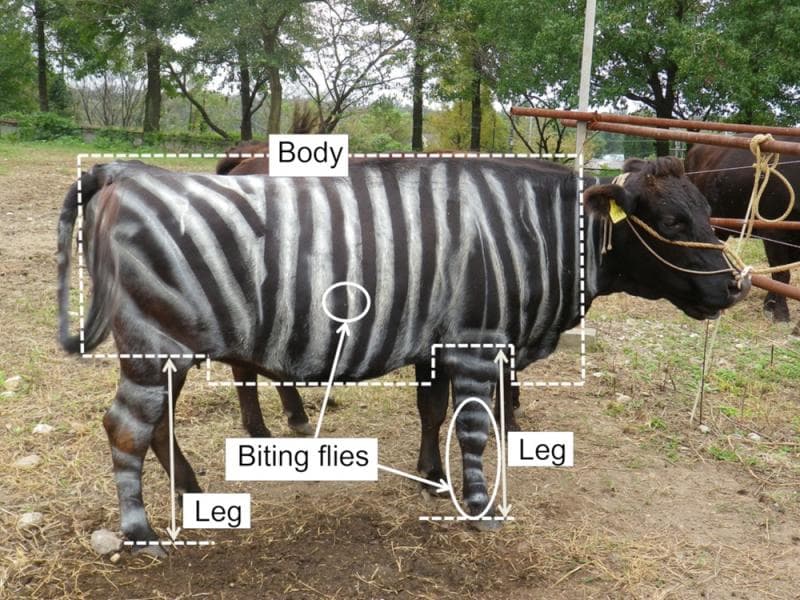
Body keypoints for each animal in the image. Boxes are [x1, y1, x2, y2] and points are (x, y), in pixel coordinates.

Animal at [57, 155, 749, 549]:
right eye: (674, 223)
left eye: (708, 216)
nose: (737, 287)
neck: (530, 232)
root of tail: (124, 173)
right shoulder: (474, 342)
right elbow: (473, 427)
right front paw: (478, 507)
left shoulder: (437, 342)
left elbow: (432, 413)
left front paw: (431, 480)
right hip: (157, 345)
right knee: (126, 428)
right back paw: (142, 532)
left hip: (173, 348)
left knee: (156, 426)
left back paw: (191, 493)